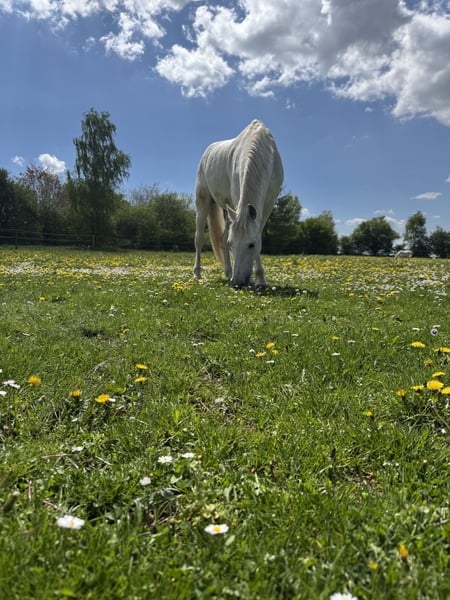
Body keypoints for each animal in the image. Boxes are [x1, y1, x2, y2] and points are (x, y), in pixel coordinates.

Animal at [193, 119, 284, 287]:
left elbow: (257, 235)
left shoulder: (268, 204)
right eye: (233, 243)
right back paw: (197, 273)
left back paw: (228, 273)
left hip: (227, 211)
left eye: (251, 245)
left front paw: (260, 279)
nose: (237, 282)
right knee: (199, 239)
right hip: (203, 201)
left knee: (222, 239)